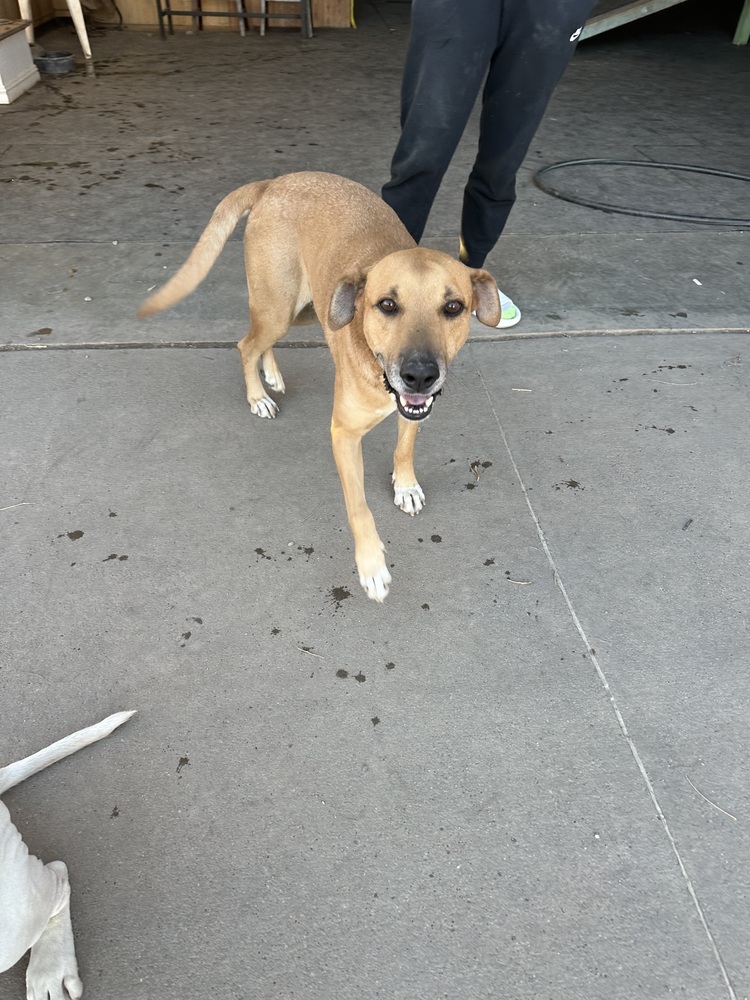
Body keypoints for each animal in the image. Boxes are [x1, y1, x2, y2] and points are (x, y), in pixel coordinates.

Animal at [141, 172, 506, 600]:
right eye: (387, 305)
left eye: (453, 308)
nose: (420, 375)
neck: (377, 371)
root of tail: (273, 182)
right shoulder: (344, 435)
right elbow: (359, 507)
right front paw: (371, 565)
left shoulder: (414, 408)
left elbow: (405, 445)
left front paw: (405, 485)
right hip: (279, 305)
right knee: (246, 344)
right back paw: (257, 395)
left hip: (307, 307)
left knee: (260, 342)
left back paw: (271, 374)